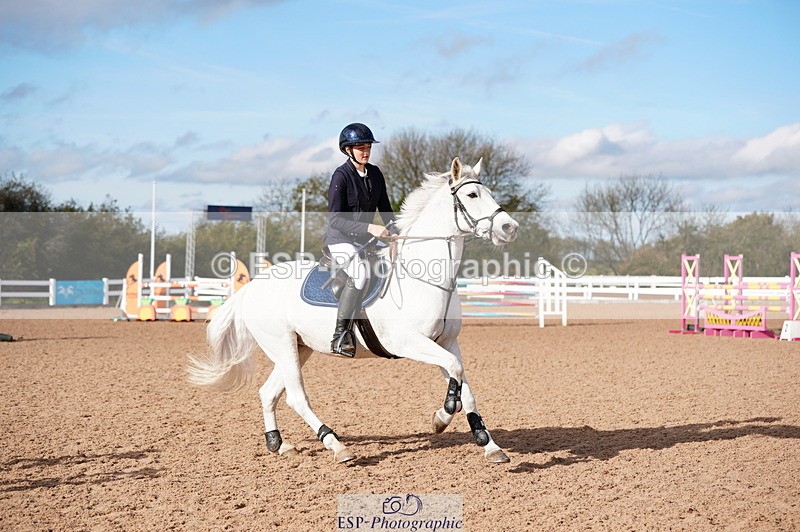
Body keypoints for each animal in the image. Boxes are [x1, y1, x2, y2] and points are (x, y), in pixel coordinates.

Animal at [188, 157, 520, 464]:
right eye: (472, 195)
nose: (510, 228)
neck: (424, 276)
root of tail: (252, 287)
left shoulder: (446, 343)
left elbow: (463, 382)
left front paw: (488, 443)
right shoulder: (409, 342)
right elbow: (455, 373)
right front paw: (443, 416)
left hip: (297, 348)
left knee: (268, 392)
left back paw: (278, 443)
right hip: (281, 345)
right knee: (296, 397)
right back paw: (336, 445)